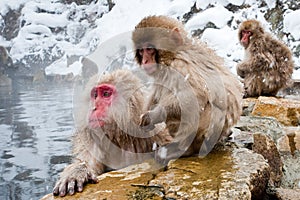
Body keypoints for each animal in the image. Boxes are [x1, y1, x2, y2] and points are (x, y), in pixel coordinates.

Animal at [132, 16, 244, 164]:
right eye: (141, 51)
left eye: (149, 49)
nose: (145, 61)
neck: (173, 55)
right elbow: (156, 91)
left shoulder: (180, 67)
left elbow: (195, 96)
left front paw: (152, 116)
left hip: (211, 130)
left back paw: (184, 149)